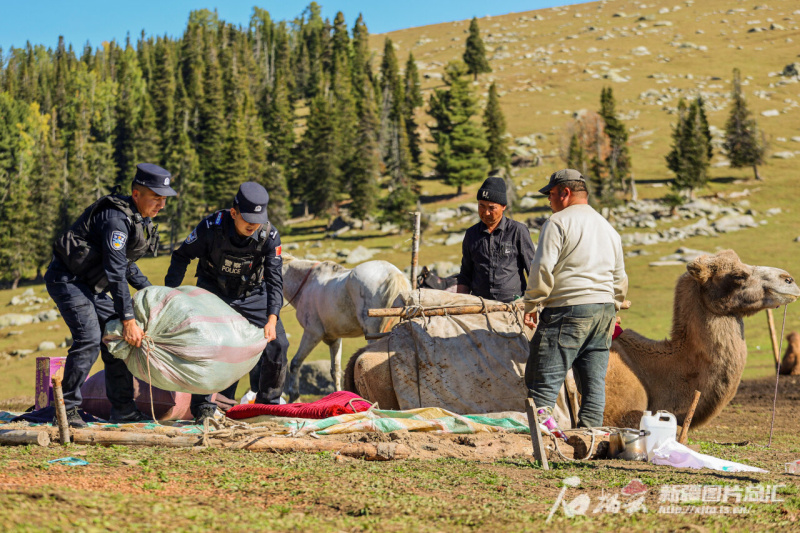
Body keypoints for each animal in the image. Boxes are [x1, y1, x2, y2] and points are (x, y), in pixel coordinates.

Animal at [282, 254, 410, 400]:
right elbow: (335, 371)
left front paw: (294, 396)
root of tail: (393, 274)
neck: (307, 284)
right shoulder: (334, 339)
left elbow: (295, 363)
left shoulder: (312, 333)